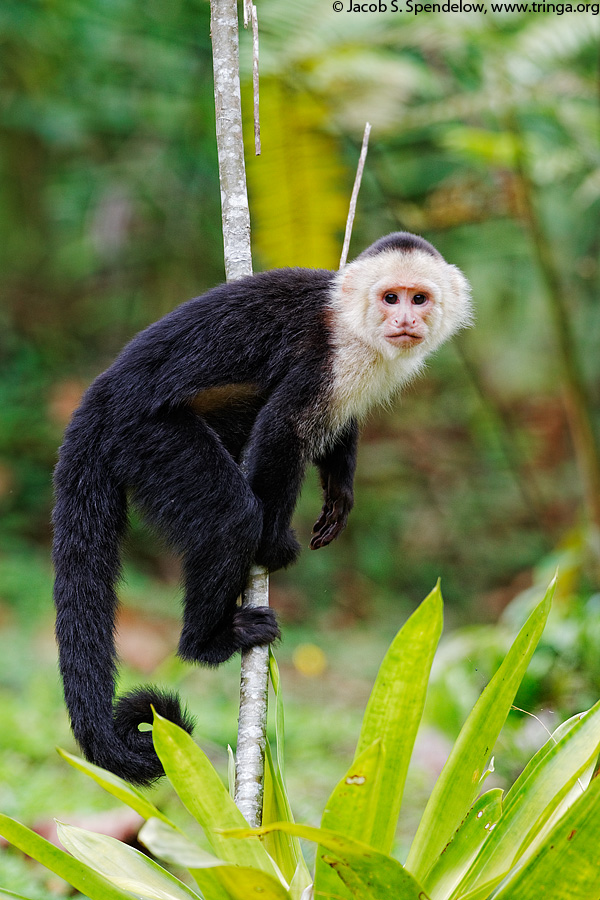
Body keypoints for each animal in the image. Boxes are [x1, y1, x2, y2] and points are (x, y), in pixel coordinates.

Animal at [52, 236, 474, 784]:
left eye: (419, 298)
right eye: (391, 298)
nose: (405, 318)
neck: (352, 321)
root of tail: (98, 398)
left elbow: (338, 423)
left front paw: (340, 490)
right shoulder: (332, 357)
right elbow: (284, 429)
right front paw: (272, 544)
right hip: (142, 434)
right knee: (231, 516)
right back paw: (208, 639)